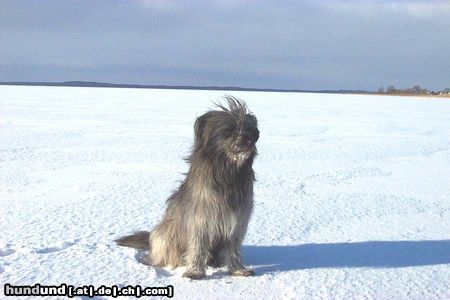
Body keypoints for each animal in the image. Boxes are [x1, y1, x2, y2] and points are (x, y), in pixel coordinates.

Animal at [114, 97, 258, 280]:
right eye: (230, 131)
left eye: (249, 130)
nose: (249, 140)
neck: (227, 173)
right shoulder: (201, 219)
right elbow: (198, 245)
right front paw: (195, 271)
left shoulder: (237, 221)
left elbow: (233, 247)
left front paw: (238, 269)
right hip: (166, 235)